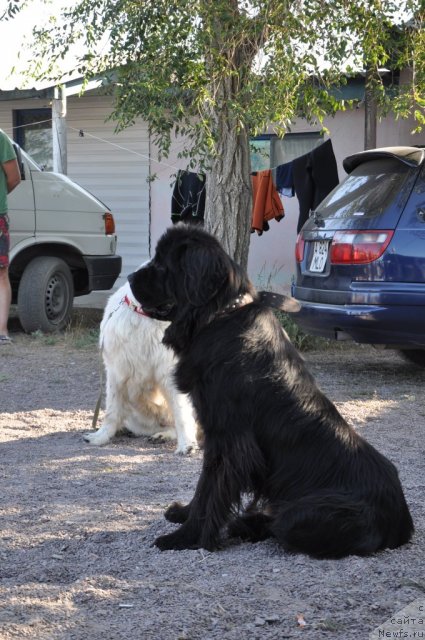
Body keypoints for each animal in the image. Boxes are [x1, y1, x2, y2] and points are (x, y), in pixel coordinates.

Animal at [85, 280, 200, 456]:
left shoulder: (170, 373)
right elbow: (111, 409)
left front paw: (186, 445)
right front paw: (101, 436)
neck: (147, 317)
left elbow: (181, 412)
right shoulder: (116, 372)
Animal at [127, 228, 412, 556]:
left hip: (303, 516)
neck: (219, 315)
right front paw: (184, 514)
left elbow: (210, 489)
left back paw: (244, 525)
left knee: (281, 524)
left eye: (162, 264)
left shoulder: (228, 438)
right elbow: (203, 486)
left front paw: (185, 537)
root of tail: (403, 522)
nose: (130, 277)